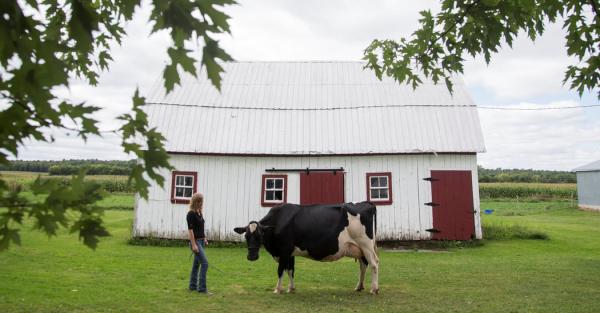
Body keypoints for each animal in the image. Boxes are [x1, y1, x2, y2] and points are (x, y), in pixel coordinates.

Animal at [232, 201, 378, 294]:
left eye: (259, 236)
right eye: (246, 236)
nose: (251, 256)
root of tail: (365, 203)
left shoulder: (284, 250)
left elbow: (280, 270)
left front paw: (277, 289)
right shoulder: (290, 253)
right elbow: (290, 270)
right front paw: (291, 288)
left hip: (366, 245)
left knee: (374, 264)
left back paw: (374, 289)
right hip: (359, 248)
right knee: (363, 265)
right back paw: (359, 287)